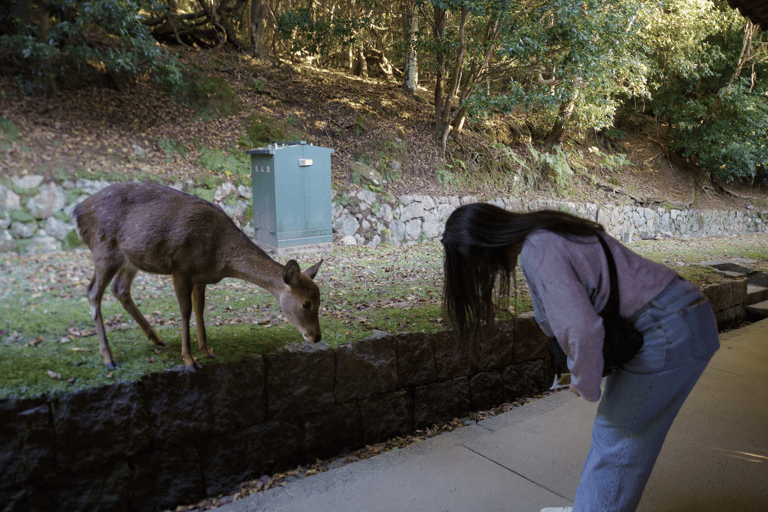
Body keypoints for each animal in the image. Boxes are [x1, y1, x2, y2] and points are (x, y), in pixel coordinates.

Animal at [73, 183, 322, 372]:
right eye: (306, 304)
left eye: (320, 300)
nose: (316, 337)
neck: (219, 256)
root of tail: (77, 211)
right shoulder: (180, 267)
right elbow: (185, 311)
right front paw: (190, 360)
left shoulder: (201, 276)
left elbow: (200, 308)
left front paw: (207, 350)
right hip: (104, 249)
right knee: (93, 293)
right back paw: (109, 358)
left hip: (130, 259)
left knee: (120, 289)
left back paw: (156, 338)